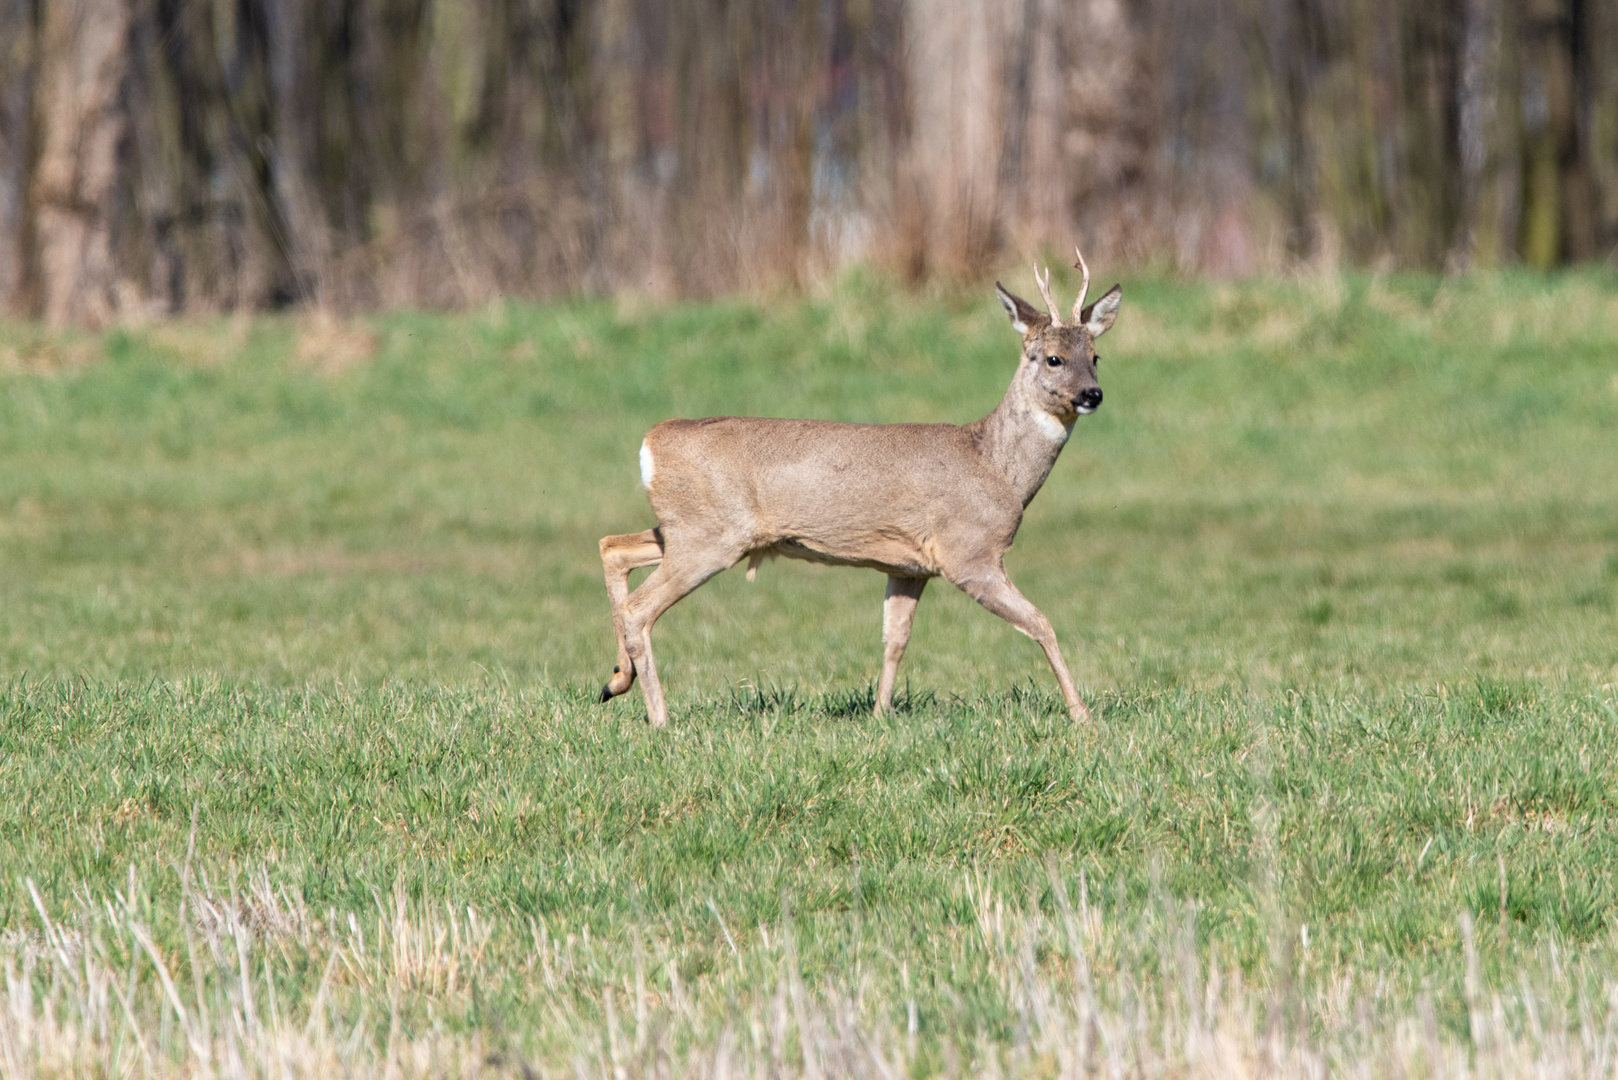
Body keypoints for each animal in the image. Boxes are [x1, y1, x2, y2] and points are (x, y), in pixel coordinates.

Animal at [601, 249, 1119, 731]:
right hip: (709, 535)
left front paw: (880, 713)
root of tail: (651, 442)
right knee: (639, 606)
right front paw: (1082, 715)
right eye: (1054, 358)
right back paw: (659, 718)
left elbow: (895, 640)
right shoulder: (970, 554)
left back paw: (615, 681)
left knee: (613, 547)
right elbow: (1041, 623)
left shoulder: (910, 566)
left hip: (689, 529)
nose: (1092, 395)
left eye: (1095, 357)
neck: (993, 464)